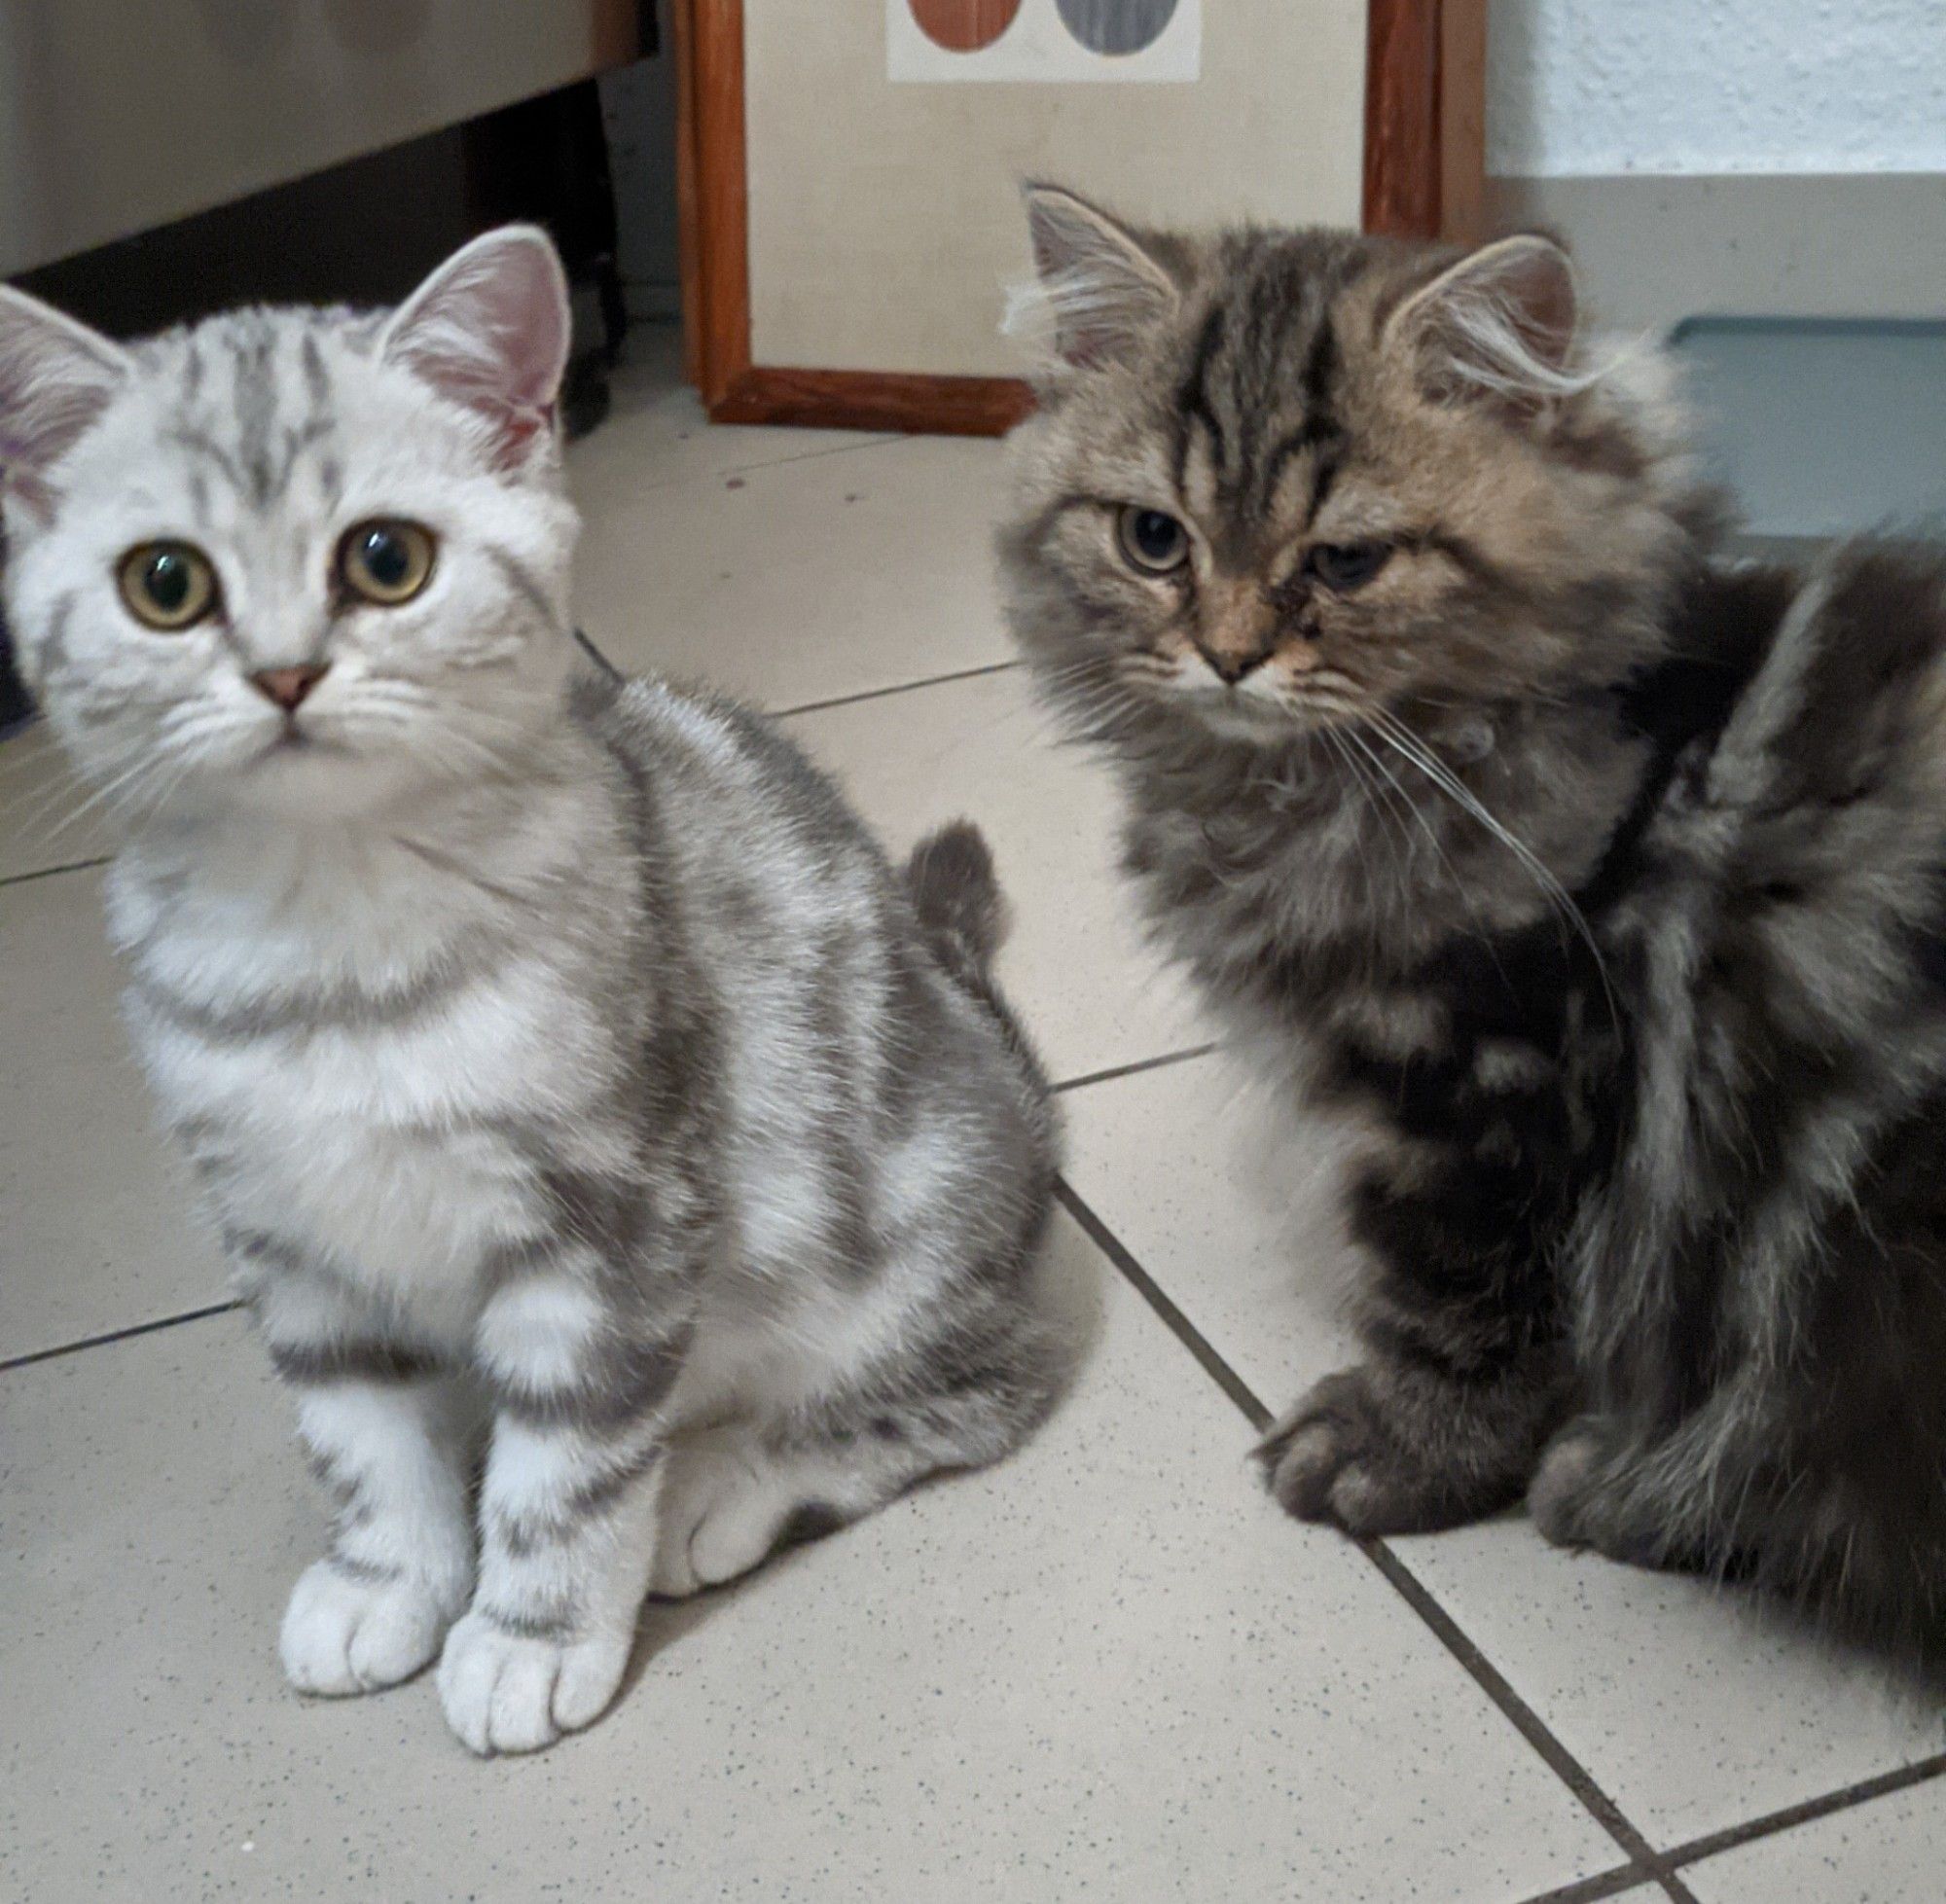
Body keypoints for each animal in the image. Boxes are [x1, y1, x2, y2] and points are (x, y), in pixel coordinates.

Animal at [0, 230, 1066, 1743]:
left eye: (386, 558)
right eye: (166, 583)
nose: (284, 672)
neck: (331, 949)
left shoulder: (613, 1215)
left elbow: (567, 1461)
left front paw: (529, 1632)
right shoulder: (285, 1230)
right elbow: (356, 1429)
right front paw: (385, 1576)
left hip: (901, 1240)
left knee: (983, 1387)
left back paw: (722, 1484)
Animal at [996, 186, 1946, 1658]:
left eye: (1345, 561)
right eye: (1155, 541)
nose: (1226, 654)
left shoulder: (1497, 1073)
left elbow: (1464, 1297)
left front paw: (1406, 1452)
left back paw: (1608, 1483)